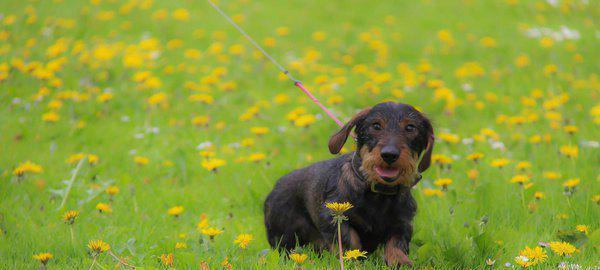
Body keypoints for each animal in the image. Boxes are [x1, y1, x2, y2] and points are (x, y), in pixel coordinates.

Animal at [264, 102, 434, 266]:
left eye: (410, 127)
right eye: (376, 126)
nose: (389, 154)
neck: (377, 193)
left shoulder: (402, 222)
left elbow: (396, 243)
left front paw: (400, 261)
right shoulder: (332, 217)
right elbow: (349, 241)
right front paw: (352, 260)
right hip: (284, 236)